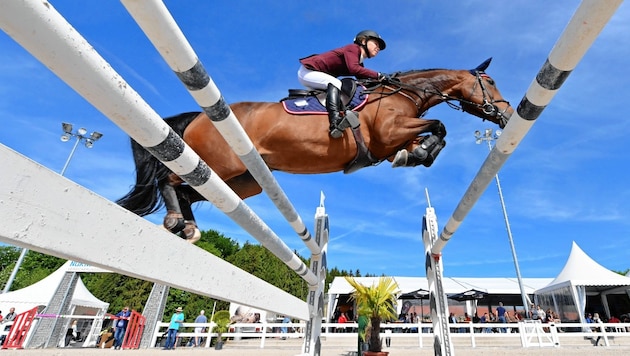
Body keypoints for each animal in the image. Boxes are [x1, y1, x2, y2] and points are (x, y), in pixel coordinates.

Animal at [117, 57, 512, 242]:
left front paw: (418, 155)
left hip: (244, 181)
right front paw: (420, 153)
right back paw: (175, 221)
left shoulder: (391, 141)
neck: (402, 93)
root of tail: (198, 117)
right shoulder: (389, 132)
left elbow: (429, 138)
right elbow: (440, 126)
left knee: (190, 191)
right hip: (221, 165)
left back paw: (187, 227)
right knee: (169, 181)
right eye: (491, 81)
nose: (508, 114)